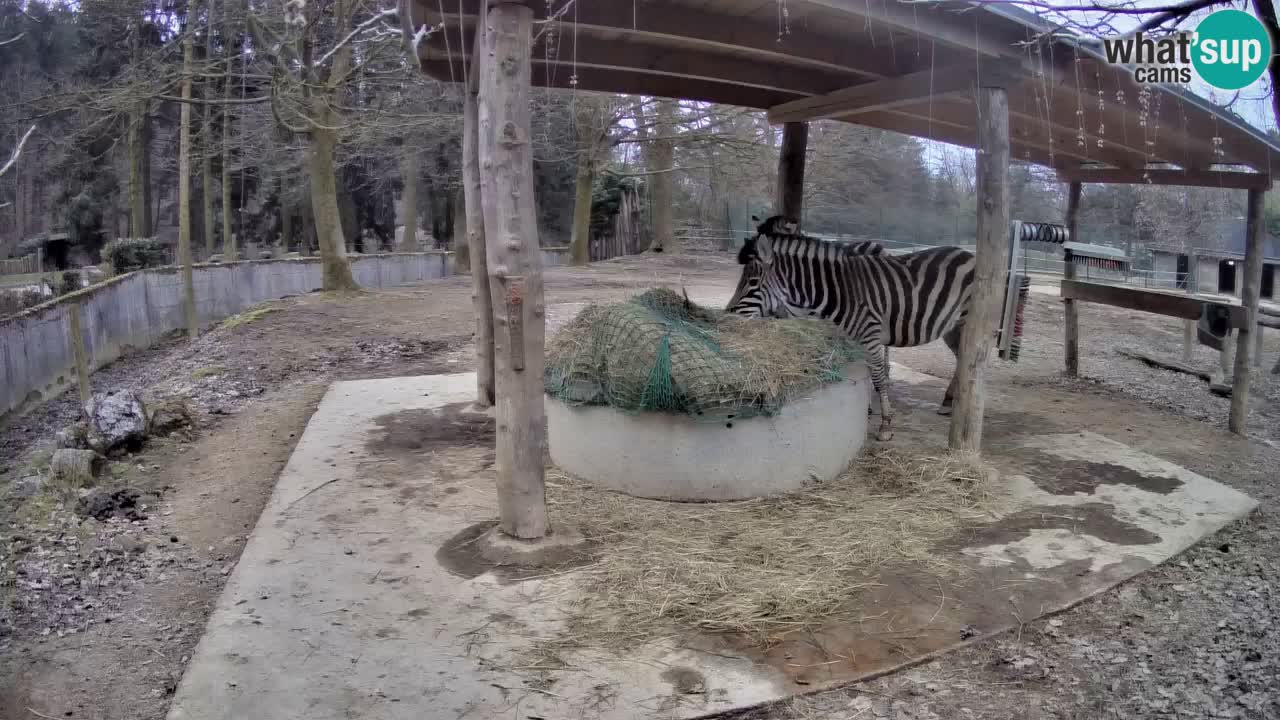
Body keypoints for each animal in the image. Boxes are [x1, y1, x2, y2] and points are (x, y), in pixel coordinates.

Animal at [727, 213, 972, 438]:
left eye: (752, 282)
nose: (728, 314)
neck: (837, 291)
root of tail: (968, 254)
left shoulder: (870, 335)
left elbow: (878, 378)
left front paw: (885, 424)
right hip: (953, 327)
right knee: (962, 360)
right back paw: (950, 403)